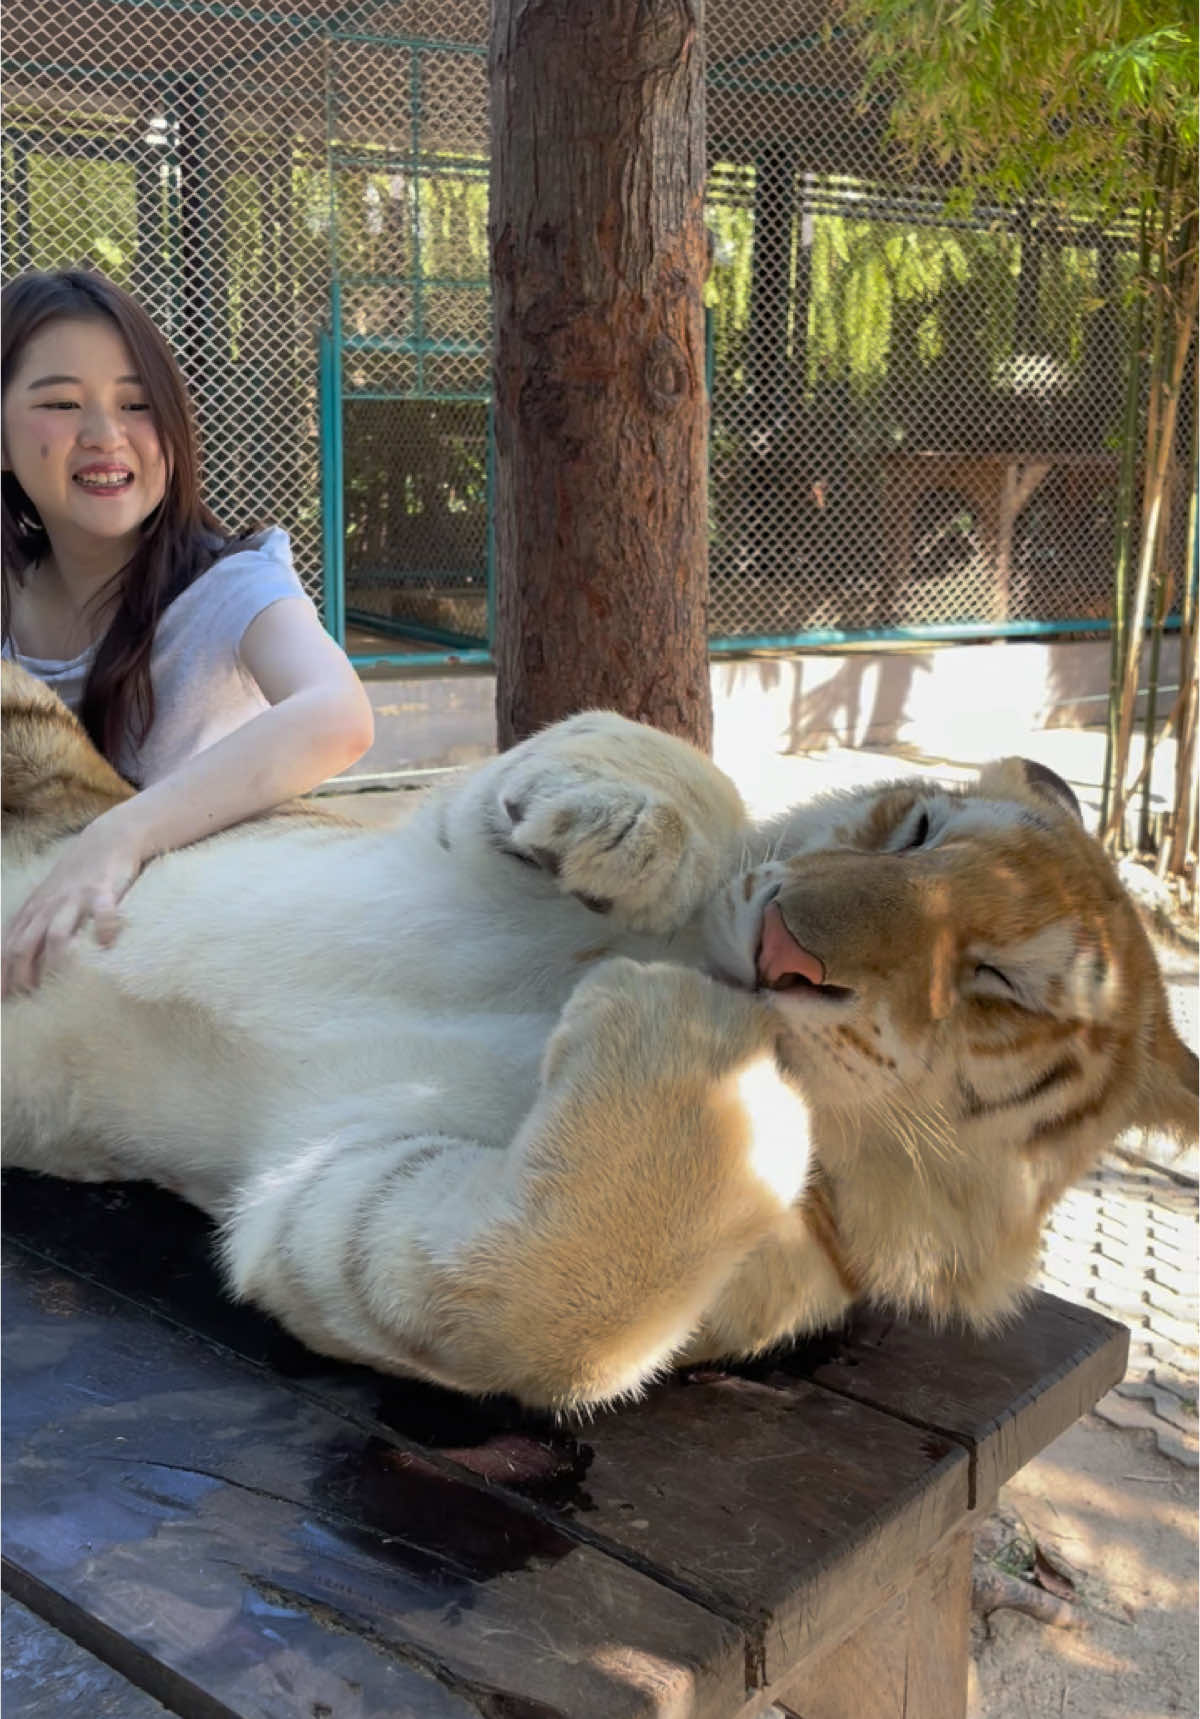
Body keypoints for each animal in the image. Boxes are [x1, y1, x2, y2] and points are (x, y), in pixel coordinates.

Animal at [2, 660, 1196, 1409]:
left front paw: (702, 1045)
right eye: (918, 828)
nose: (784, 949)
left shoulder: (332, 1192)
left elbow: (546, 1303)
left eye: (1002, 985)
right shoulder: (444, 818)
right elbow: (657, 750)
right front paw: (629, 837)